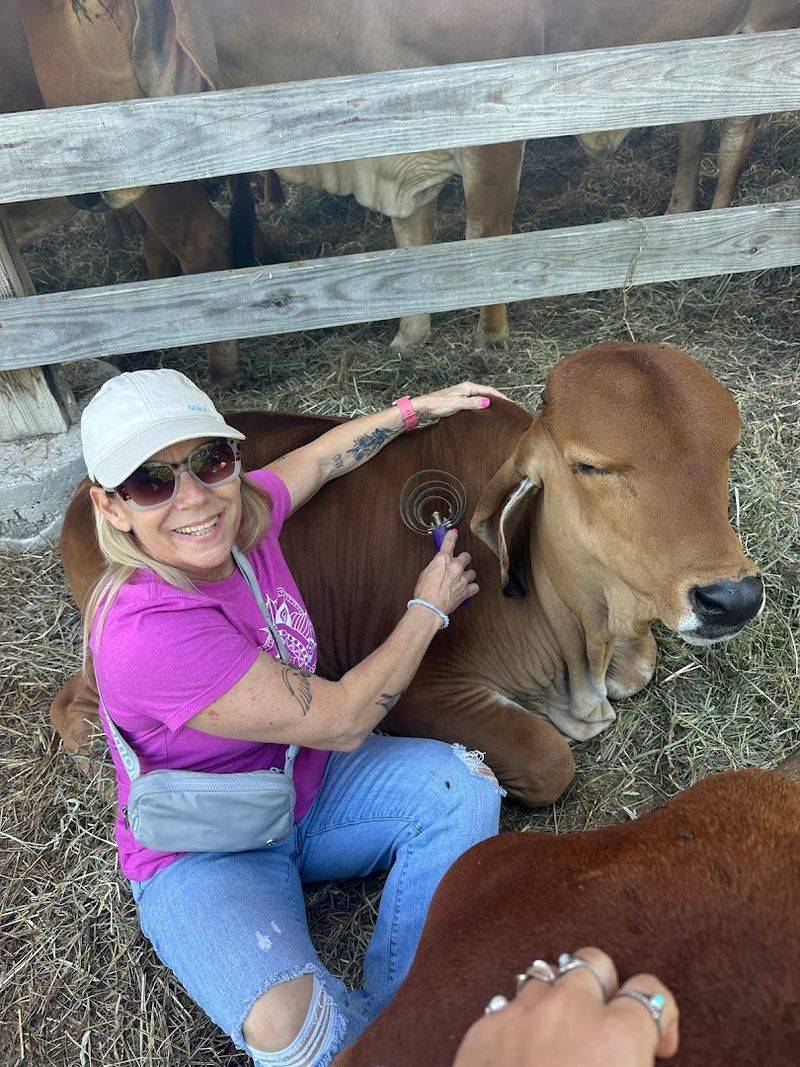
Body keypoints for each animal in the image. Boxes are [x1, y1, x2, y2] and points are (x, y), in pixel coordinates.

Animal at [52, 342, 763, 807]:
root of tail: (81, 496)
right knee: (75, 702)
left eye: (728, 449)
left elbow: (639, 665)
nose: (732, 597)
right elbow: (548, 759)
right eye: (589, 466)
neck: (575, 634)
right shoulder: (423, 694)